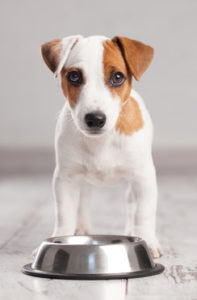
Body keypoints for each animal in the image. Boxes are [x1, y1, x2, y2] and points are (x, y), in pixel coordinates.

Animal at [40, 34, 162, 258]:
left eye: (118, 77)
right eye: (74, 77)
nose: (95, 119)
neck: (102, 141)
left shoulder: (144, 177)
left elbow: (143, 212)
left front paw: (147, 241)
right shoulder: (65, 178)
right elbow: (64, 214)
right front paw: (59, 238)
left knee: (131, 204)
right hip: (81, 180)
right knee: (84, 200)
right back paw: (81, 229)